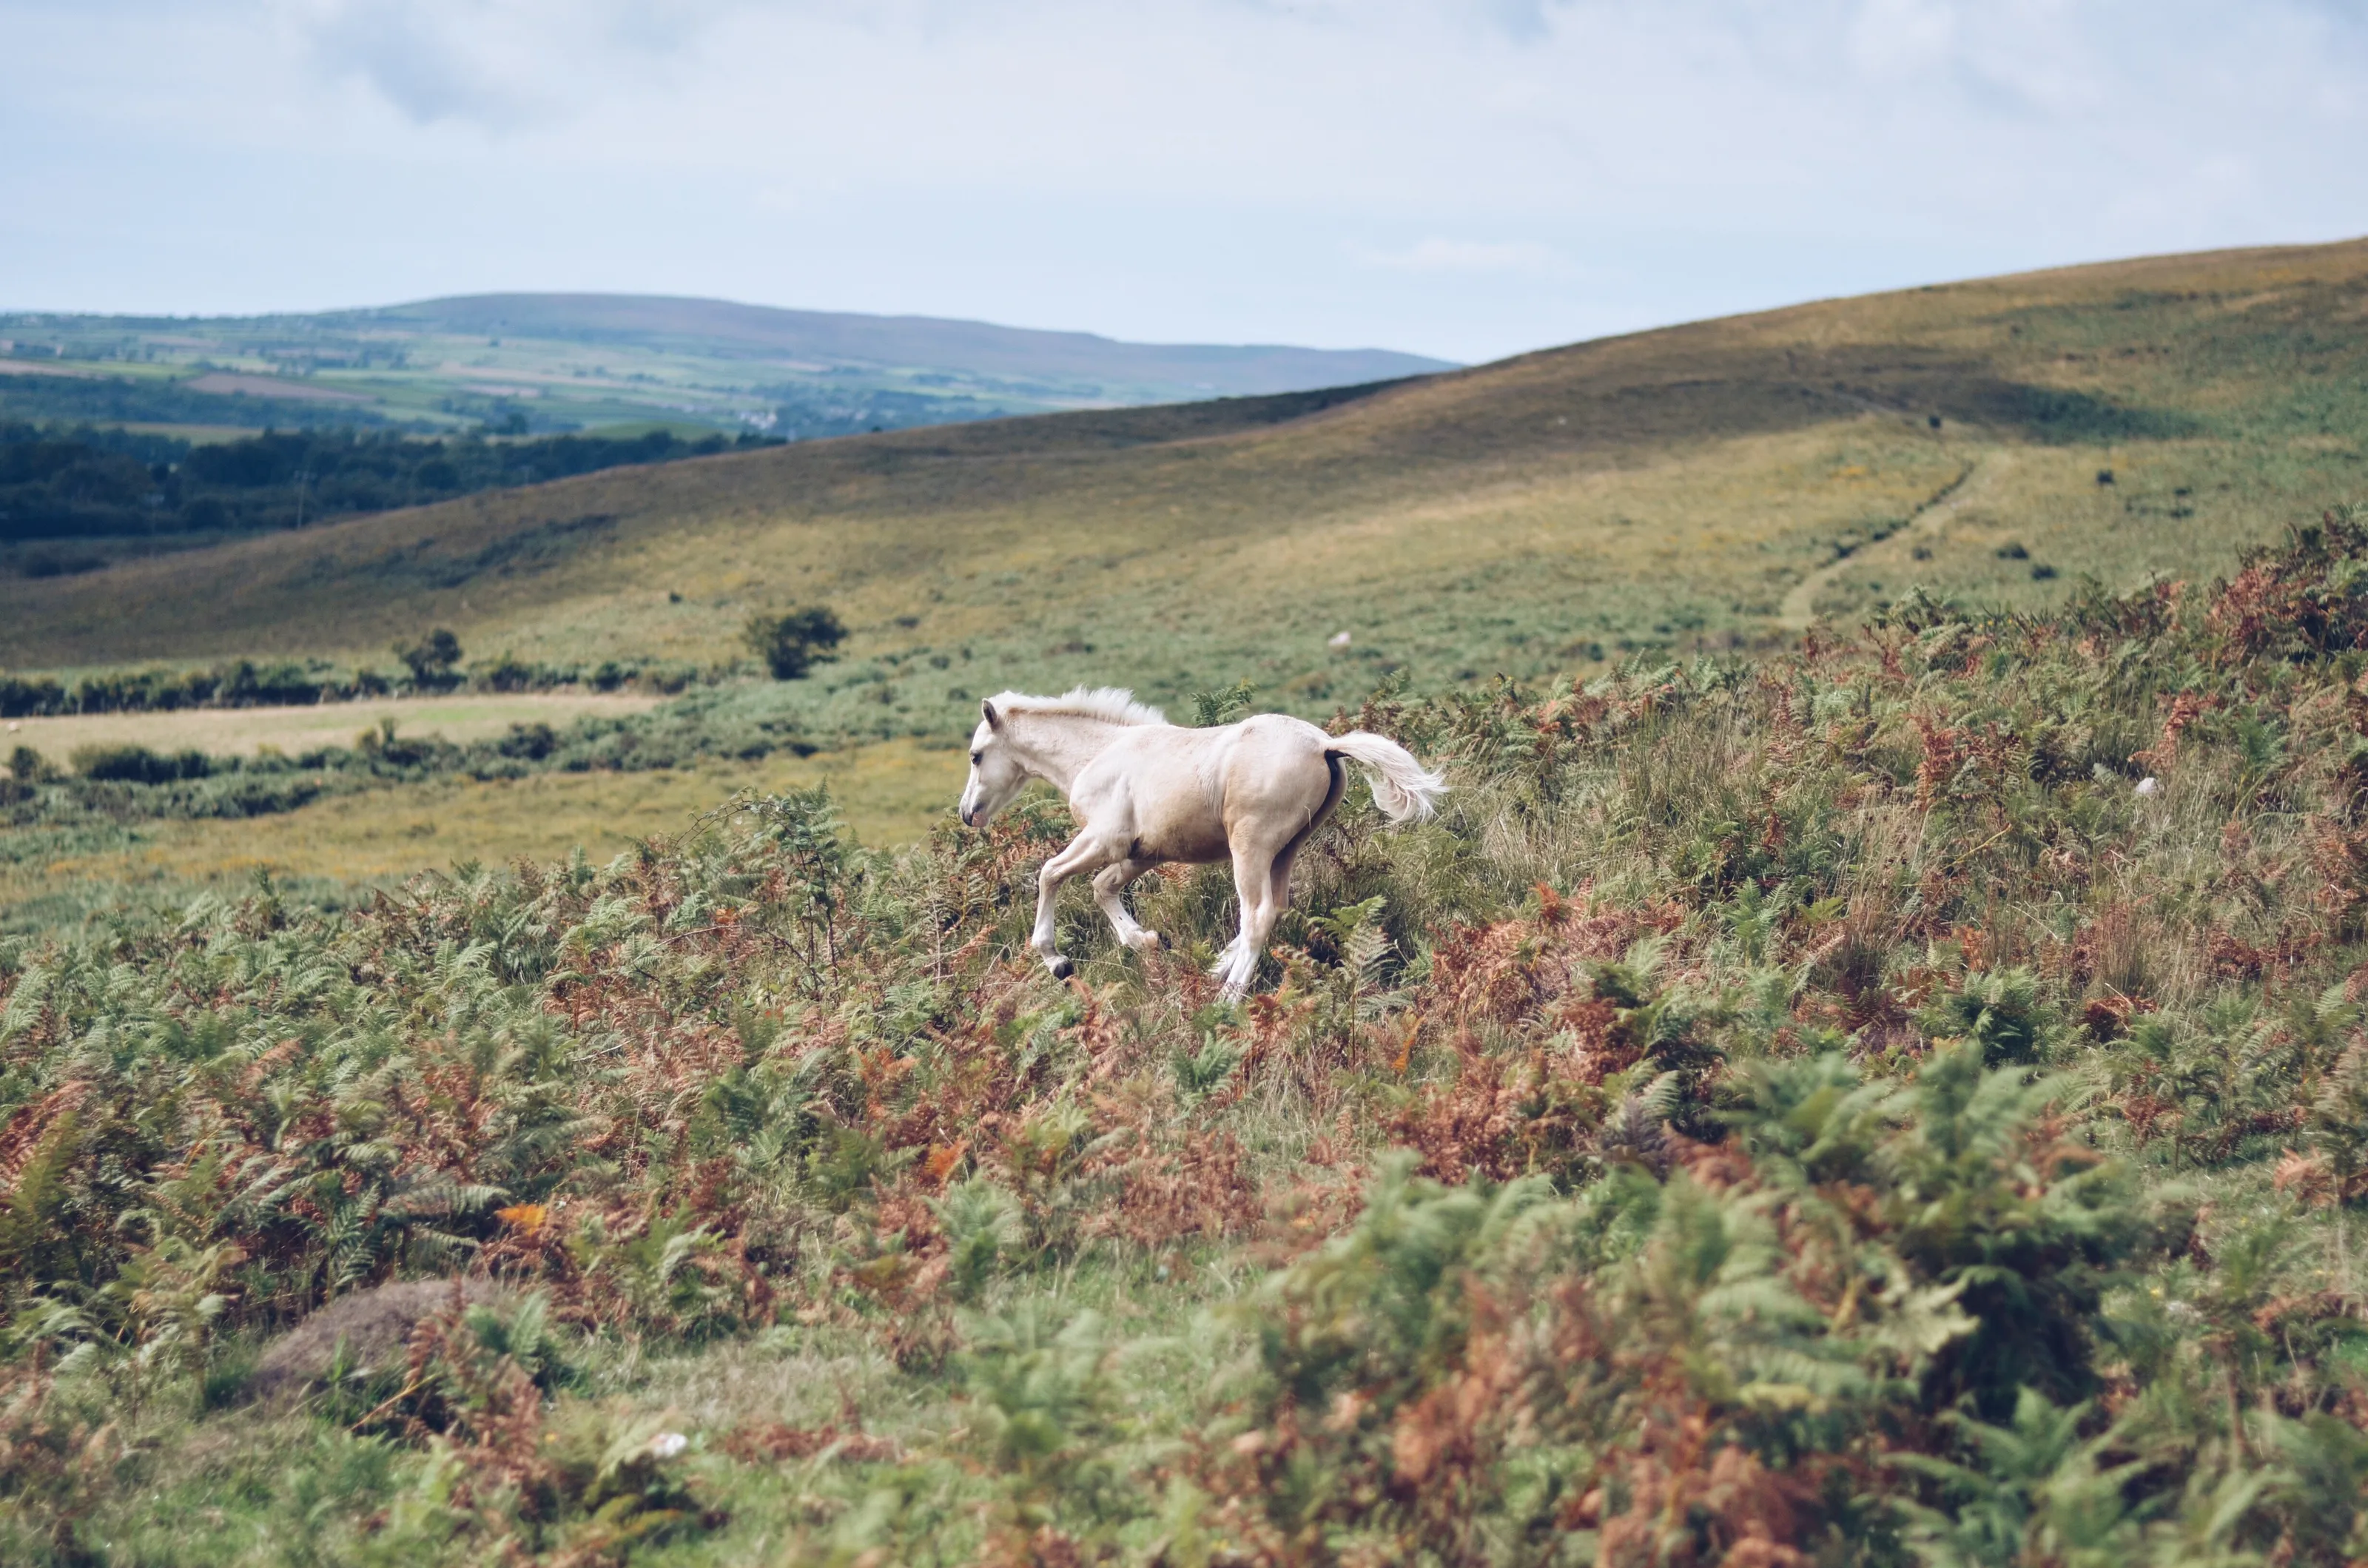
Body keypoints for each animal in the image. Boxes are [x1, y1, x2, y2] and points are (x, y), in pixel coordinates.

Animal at [956, 687, 1447, 999]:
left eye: (976, 756)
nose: (968, 814)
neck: (1098, 754)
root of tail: (1325, 744)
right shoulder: (1143, 853)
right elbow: (1102, 888)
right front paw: (1148, 941)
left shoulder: (1104, 839)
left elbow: (1049, 875)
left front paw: (1057, 960)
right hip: (1287, 848)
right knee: (1275, 908)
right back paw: (1216, 969)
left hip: (1250, 845)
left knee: (1258, 915)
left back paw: (1228, 996)